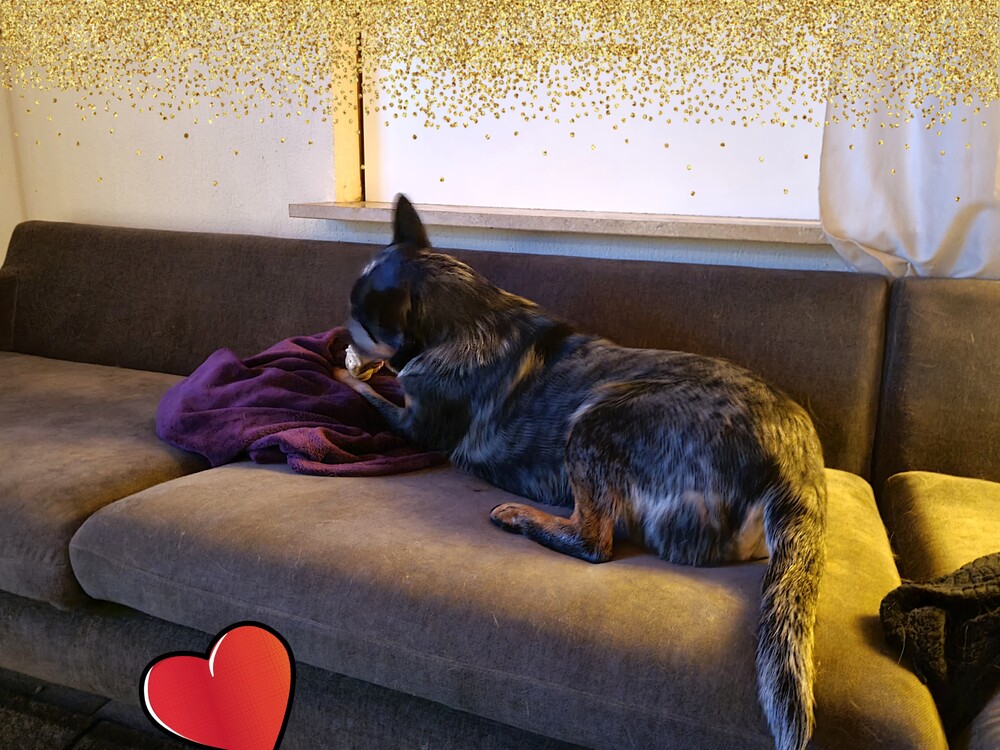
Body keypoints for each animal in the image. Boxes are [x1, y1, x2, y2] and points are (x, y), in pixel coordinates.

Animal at [336, 195, 827, 750]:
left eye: (360, 315)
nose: (343, 327)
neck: (470, 316)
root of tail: (798, 471)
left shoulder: (415, 425)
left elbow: (367, 393)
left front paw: (342, 367)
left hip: (595, 418)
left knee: (594, 541)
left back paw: (519, 517)